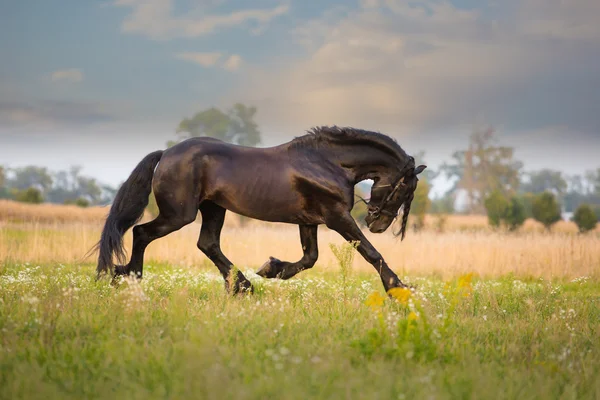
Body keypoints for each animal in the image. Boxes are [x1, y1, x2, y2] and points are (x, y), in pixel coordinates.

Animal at [95, 127, 426, 294]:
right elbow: (370, 252)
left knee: (207, 243)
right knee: (142, 232)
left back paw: (244, 286)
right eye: (405, 189)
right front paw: (399, 289)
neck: (327, 163)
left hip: (214, 208)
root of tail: (166, 154)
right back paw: (130, 275)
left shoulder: (310, 221)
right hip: (179, 215)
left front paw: (272, 268)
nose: (378, 224)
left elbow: (309, 258)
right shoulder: (336, 217)